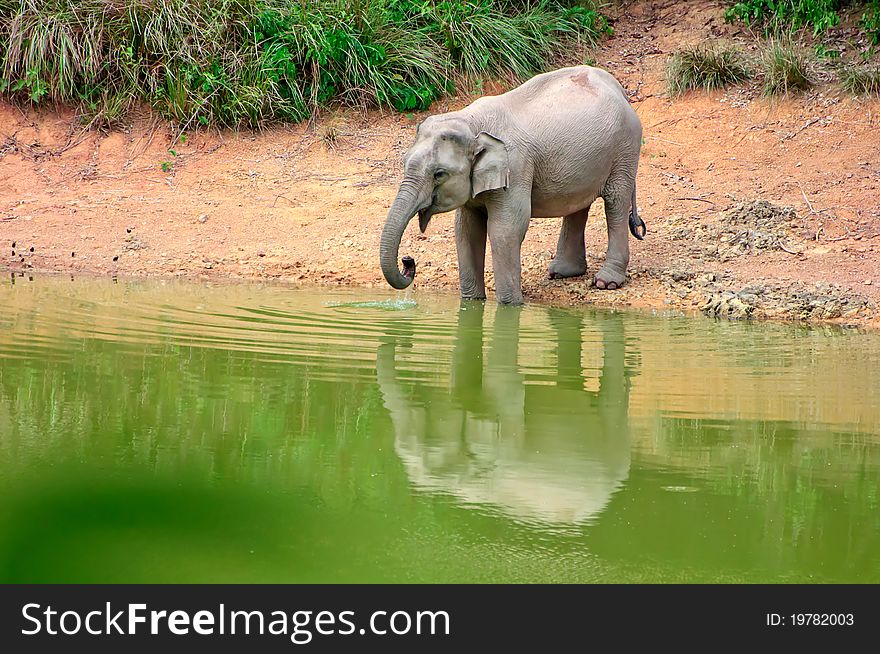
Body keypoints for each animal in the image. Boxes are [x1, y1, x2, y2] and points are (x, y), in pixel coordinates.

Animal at [374, 306, 628, 528]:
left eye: (428, 439)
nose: (405, 340)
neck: (459, 481)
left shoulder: (506, 432)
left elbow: (505, 379)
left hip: (612, 449)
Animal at [380, 65, 648, 306]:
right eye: (404, 162)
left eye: (439, 174)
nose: (408, 261)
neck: (472, 122)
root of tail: (618, 87)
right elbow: (466, 230)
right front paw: (472, 302)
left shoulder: (516, 167)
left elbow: (505, 229)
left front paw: (510, 305)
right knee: (578, 205)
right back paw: (562, 272)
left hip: (625, 148)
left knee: (615, 202)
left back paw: (606, 282)